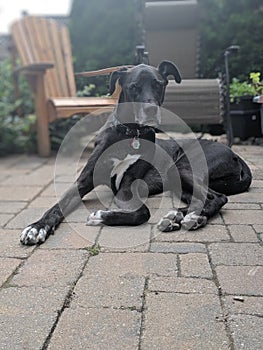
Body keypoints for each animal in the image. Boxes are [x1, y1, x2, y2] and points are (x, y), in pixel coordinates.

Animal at [20, 61, 252, 245]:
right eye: (133, 87)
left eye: (159, 85)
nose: (151, 111)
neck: (131, 133)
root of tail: (236, 155)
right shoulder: (83, 181)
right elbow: (57, 206)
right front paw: (37, 227)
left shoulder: (127, 188)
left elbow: (142, 213)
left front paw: (101, 216)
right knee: (201, 199)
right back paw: (178, 217)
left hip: (181, 167)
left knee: (218, 197)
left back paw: (189, 218)